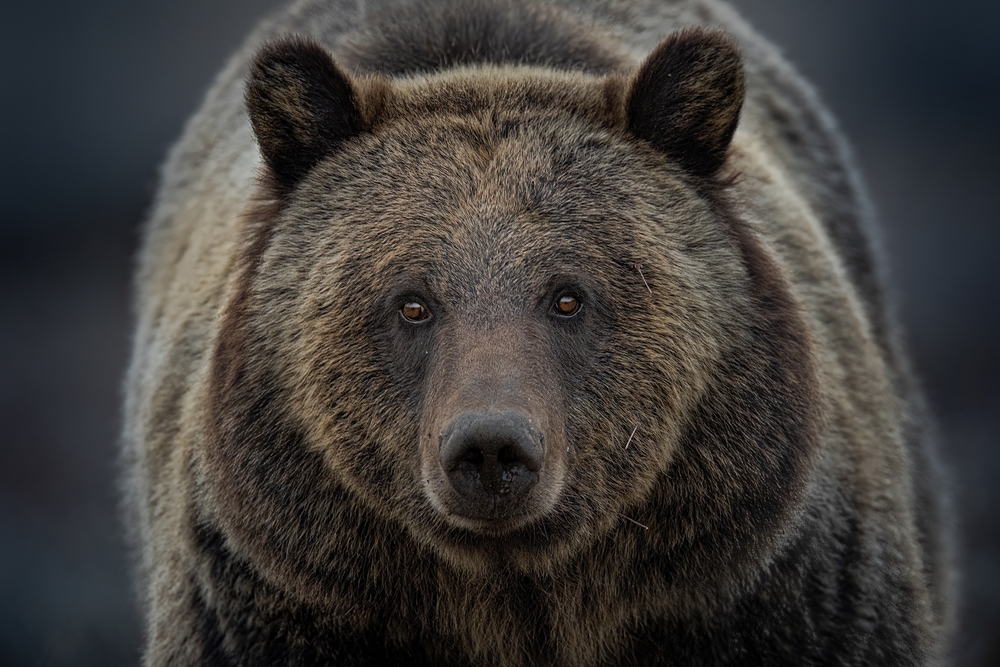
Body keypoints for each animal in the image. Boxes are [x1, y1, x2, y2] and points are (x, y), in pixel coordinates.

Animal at [122, 0, 953, 665]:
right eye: (411, 302)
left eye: (567, 296)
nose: (490, 447)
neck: (519, 590)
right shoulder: (281, 592)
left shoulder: (767, 587)